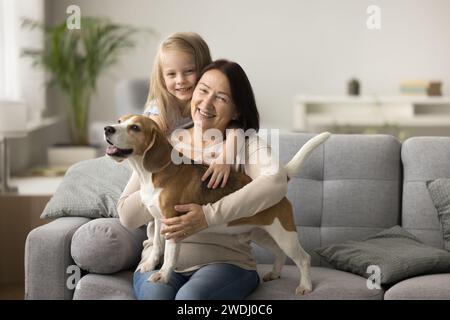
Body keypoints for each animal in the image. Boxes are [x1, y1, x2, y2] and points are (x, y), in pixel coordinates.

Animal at [105, 114, 330, 296]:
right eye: (119, 121)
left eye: (135, 128)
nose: (107, 128)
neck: (152, 173)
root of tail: (284, 176)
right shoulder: (160, 221)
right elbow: (157, 247)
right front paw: (150, 265)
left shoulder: (174, 224)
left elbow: (169, 255)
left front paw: (163, 276)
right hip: (263, 234)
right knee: (279, 253)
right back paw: (275, 273)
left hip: (285, 235)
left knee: (303, 259)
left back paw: (305, 286)